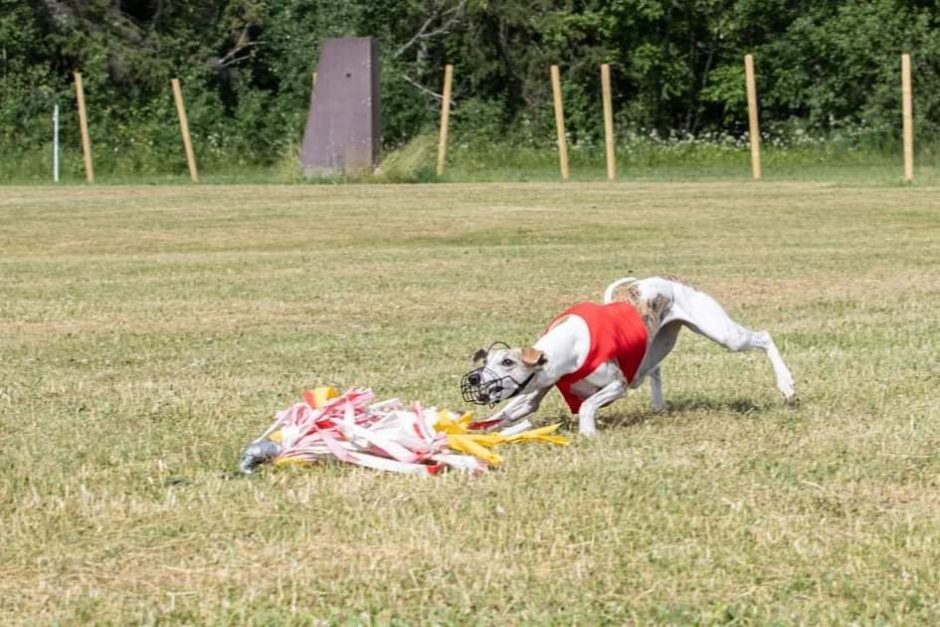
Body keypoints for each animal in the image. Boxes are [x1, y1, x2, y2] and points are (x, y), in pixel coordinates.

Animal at [460, 278, 792, 440]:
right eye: (484, 363)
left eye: (507, 362)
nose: (474, 379)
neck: (567, 343)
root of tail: (673, 280)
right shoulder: (538, 388)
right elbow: (510, 413)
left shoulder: (615, 383)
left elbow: (589, 405)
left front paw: (588, 431)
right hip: (659, 343)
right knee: (654, 369)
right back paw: (658, 406)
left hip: (721, 332)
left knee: (763, 337)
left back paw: (786, 385)